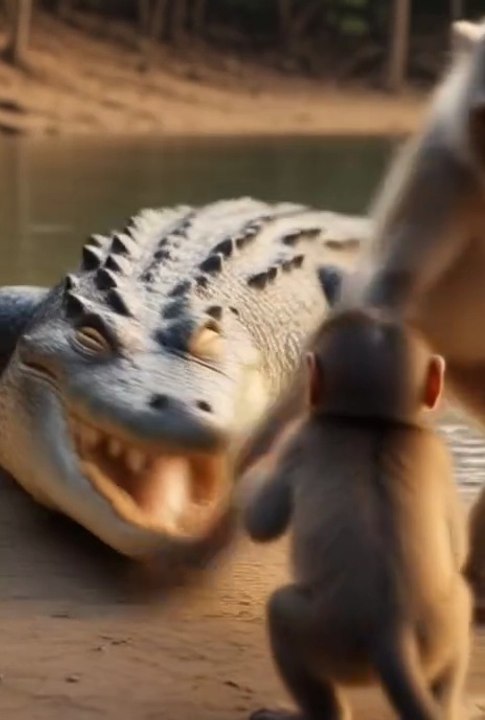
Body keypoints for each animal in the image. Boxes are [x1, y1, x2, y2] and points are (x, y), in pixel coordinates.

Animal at [241, 307, 472, 720]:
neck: (371, 422)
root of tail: (391, 631)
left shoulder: (302, 436)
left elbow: (263, 521)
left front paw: (251, 470)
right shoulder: (435, 449)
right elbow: (458, 549)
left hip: (328, 637)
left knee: (281, 614)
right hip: (439, 630)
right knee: (461, 603)